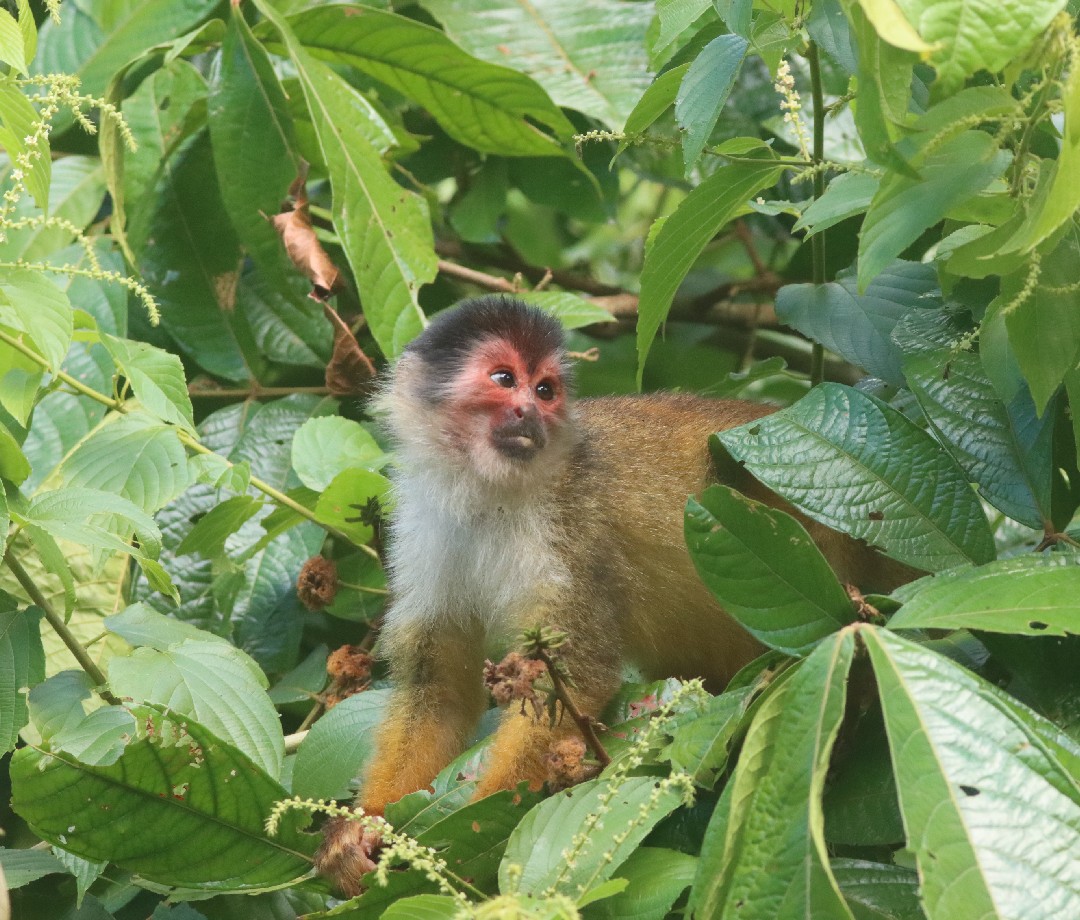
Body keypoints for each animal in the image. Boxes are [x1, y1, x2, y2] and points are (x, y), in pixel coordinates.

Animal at [315, 295, 911, 889]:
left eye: (545, 390)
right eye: (505, 379)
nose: (530, 413)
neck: (488, 491)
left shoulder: (569, 525)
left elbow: (577, 673)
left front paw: (473, 835)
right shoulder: (424, 520)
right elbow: (437, 688)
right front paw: (361, 829)